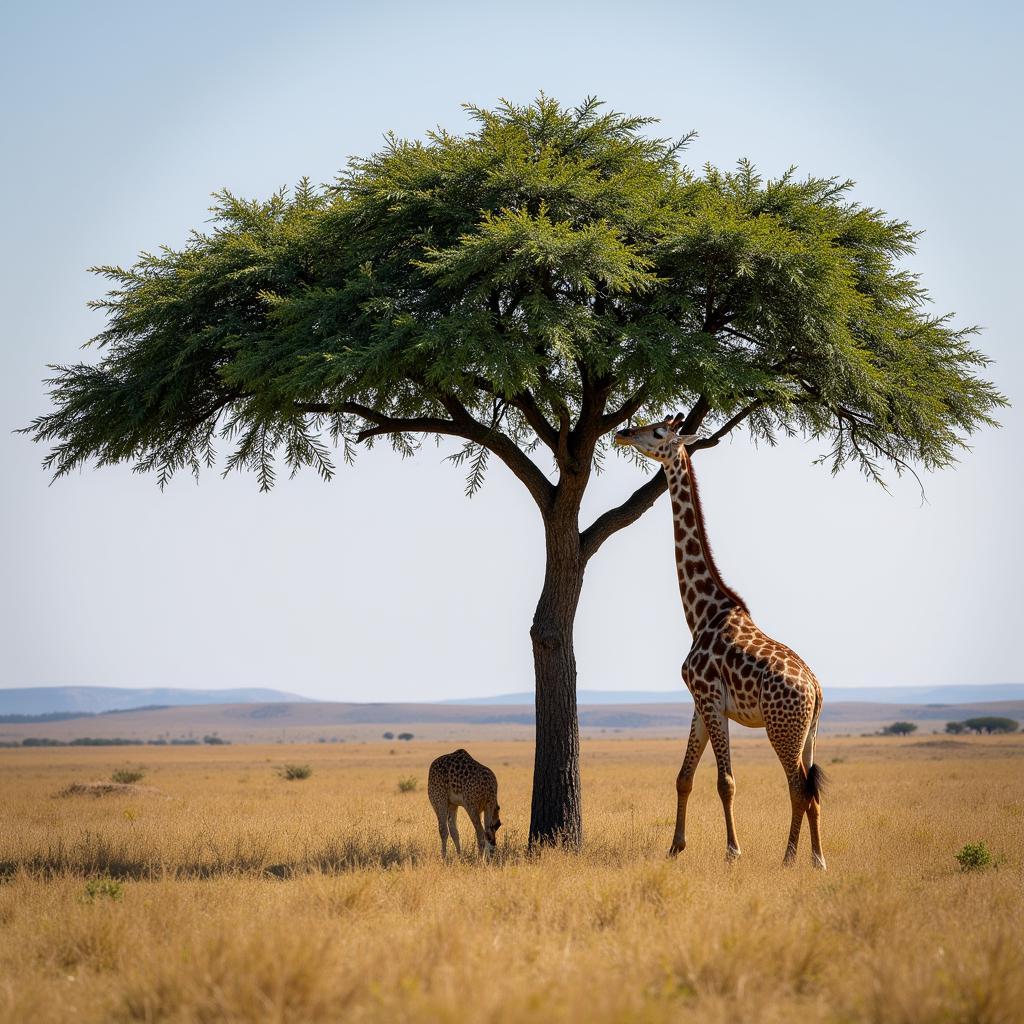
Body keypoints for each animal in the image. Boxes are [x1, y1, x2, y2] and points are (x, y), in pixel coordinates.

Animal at [614, 411, 823, 868]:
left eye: (659, 431)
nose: (623, 431)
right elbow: (683, 777)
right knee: (811, 792)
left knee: (798, 787)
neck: (701, 612)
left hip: (782, 728)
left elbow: (725, 781)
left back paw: (790, 858)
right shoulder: (700, 702)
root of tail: (816, 689)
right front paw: (675, 848)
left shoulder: (710, 697)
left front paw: (732, 852)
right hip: (809, 733)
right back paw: (817, 860)